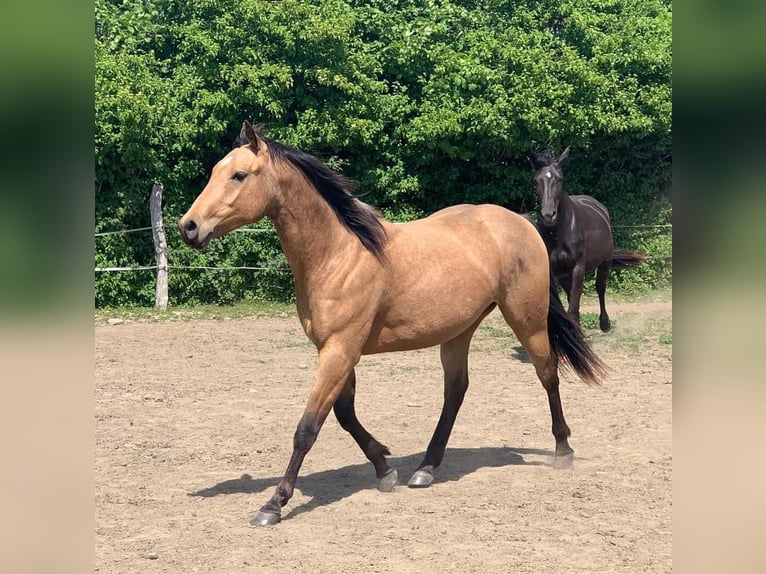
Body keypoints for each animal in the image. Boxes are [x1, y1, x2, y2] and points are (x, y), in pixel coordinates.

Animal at [182, 124, 612, 528]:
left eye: (238, 175)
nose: (189, 226)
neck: (338, 254)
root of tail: (522, 224)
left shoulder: (339, 350)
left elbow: (307, 427)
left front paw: (273, 504)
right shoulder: (338, 351)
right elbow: (345, 416)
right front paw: (384, 468)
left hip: (527, 319)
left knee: (547, 373)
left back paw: (563, 450)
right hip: (459, 331)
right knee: (455, 391)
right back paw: (426, 468)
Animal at [536, 148, 648, 332]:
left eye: (559, 179)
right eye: (536, 181)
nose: (548, 215)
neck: (558, 233)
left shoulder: (578, 268)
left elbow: (573, 308)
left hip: (605, 262)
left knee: (600, 288)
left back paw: (605, 323)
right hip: (566, 274)